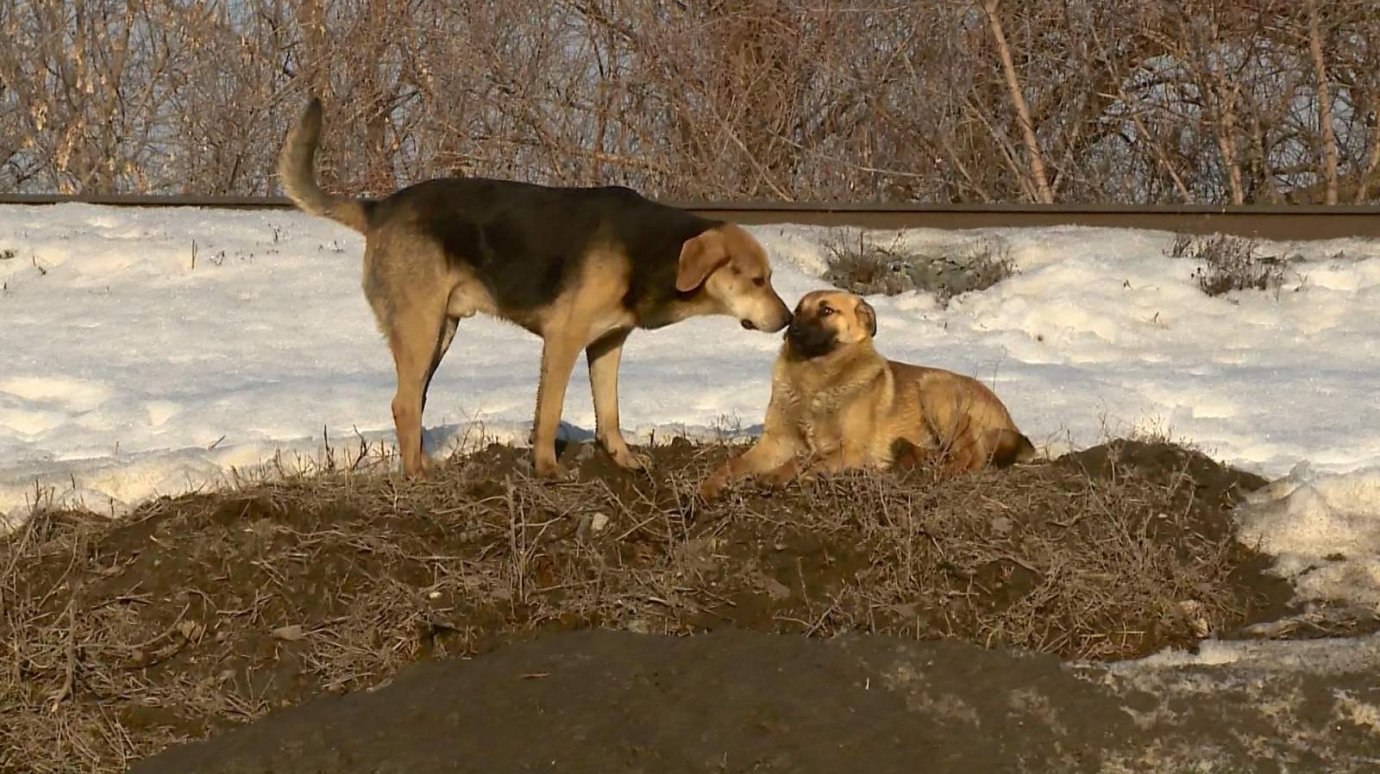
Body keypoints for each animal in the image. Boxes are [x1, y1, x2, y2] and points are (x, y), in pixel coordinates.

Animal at [276, 97, 794, 477]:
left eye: (770, 279)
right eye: (757, 280)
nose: (789, 319)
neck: (654, 251)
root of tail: (379, 207)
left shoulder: (607, 344)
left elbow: (610, 412)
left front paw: (623, 459)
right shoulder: (563, 340)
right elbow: (548, 411)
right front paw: (547, 469)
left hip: (439, 332)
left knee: (412, 401)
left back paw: (420, 464)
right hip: (421, 328)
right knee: (404, 403)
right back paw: (418, 477)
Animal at [701, 286, 1037, 496]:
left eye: (826, 310)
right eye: (797, 311)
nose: (790, 331)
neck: (816, 379)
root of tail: (1009, 420)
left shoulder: (850, 449)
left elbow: (804, 460)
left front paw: (781, 475)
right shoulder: (775, 442)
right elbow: (736, 464)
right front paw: (710, 485)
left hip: (935, 388)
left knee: (973, 454)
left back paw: (940, 472)